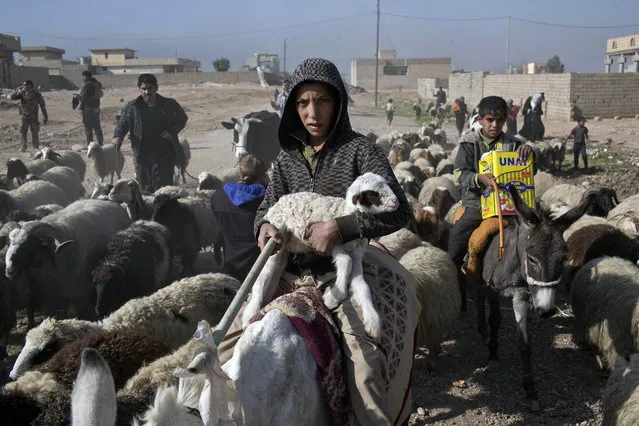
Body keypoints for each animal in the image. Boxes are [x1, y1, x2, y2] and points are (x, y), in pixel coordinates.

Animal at [240, 171, 400, 338]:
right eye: (372, 194)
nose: (396, 202)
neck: (346, 213)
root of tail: (276, 204)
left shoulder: (356, 254)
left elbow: (362, 285)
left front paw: (373, 323)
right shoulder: (335, 246)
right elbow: (345, 262)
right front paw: (334, 296)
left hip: (283, 249)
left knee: (273, 274)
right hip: (274, 241)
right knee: (261, 279)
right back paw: (249, 314)